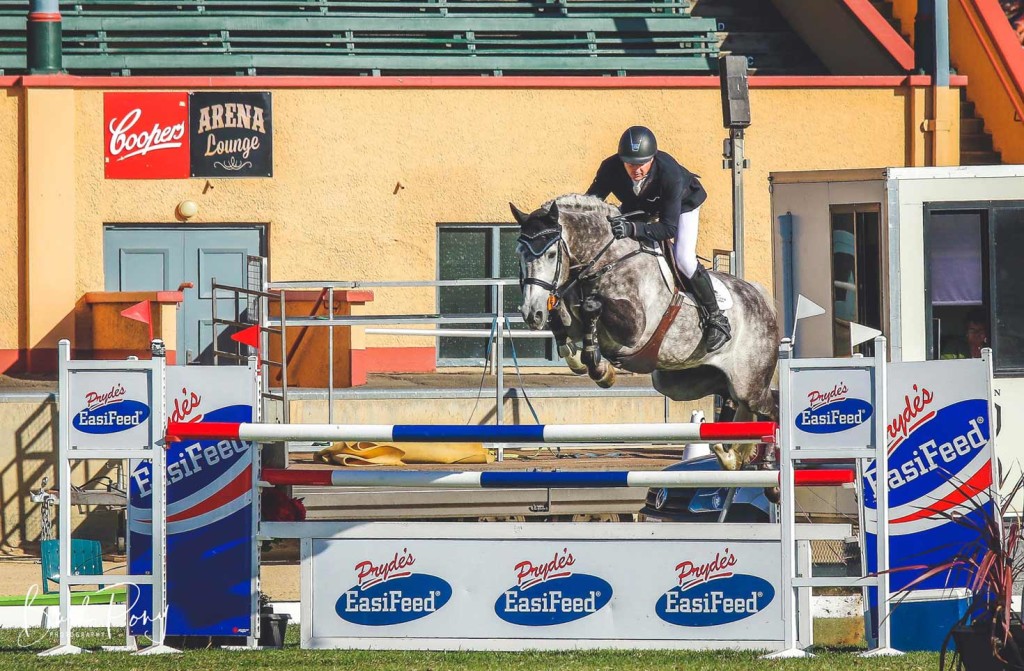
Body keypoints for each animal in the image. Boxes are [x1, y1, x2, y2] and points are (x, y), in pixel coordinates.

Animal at [512, 191, 774, 469]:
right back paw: (729, 454)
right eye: (519, 254)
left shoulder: (634, 329)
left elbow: (593, 306)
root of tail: (759, 296)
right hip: (685, 382)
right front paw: (582, 360)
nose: (530, 313)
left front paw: (599, 367)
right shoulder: (572, 317)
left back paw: (765, 467)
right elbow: (562, 320)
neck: (607, 260)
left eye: (551, 254)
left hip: (749, 383)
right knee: (733, 400)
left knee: (770, 406)